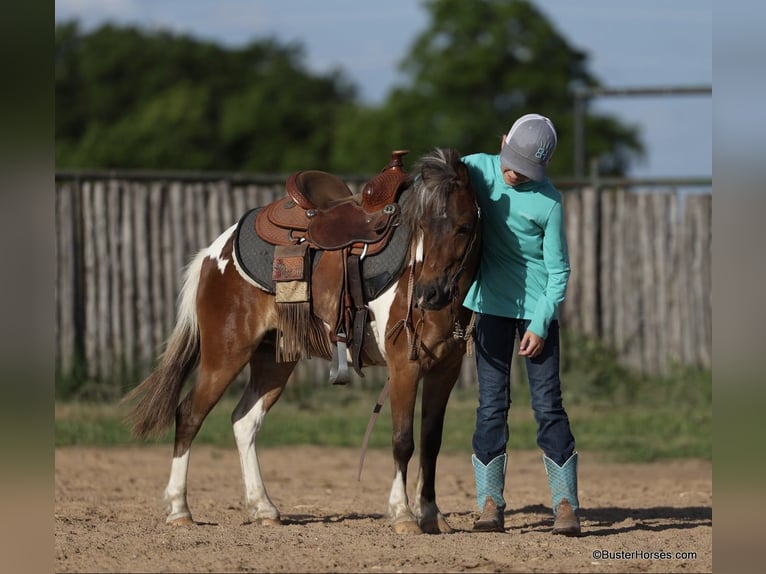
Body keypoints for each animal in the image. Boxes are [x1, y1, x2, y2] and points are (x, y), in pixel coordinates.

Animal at [124, 148, 480, 536]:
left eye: (464, 227)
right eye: (423, 228)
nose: (430, 294)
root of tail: (214, 252)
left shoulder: (444, 371)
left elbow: (431, 443)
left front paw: (431, 514)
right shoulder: (404, 366)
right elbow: (403, 441)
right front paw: (403, 515)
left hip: (273, 360)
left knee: (244, 421)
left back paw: (263, 508)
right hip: (225, 354)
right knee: (189, 414)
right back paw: (179, 509)